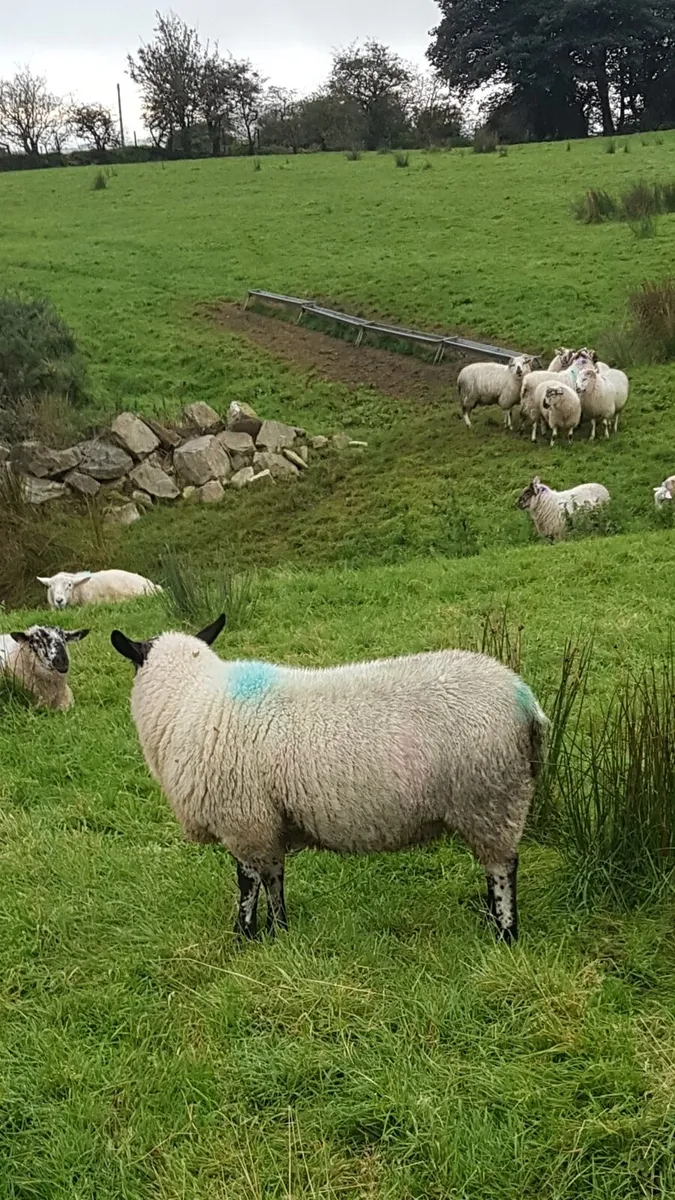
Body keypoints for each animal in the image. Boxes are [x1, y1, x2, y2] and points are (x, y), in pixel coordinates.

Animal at [111, 615, 549, 945]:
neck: (190, 699)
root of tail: (525, 698)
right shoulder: (268, 822)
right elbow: (274, 878)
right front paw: (279, 931)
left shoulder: (243, 821)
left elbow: (248, 884)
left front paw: (245, 936)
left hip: (491, 798)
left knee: (502, 868)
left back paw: (504, 932)